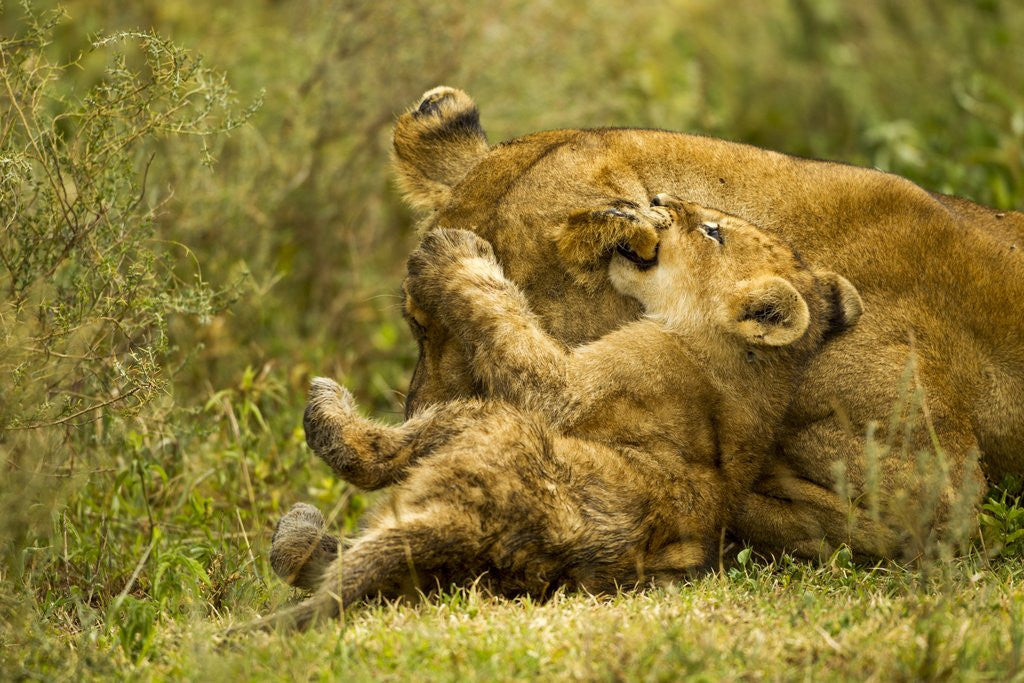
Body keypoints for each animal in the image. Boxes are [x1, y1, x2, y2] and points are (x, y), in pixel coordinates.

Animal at [251, 196, 862, 631]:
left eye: (713, 231)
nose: (658, 196)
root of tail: (474, 525)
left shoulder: (574, 390)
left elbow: (503, 316)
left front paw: (454, 253)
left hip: (491, 424)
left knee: (371, 460)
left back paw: (323, 413)